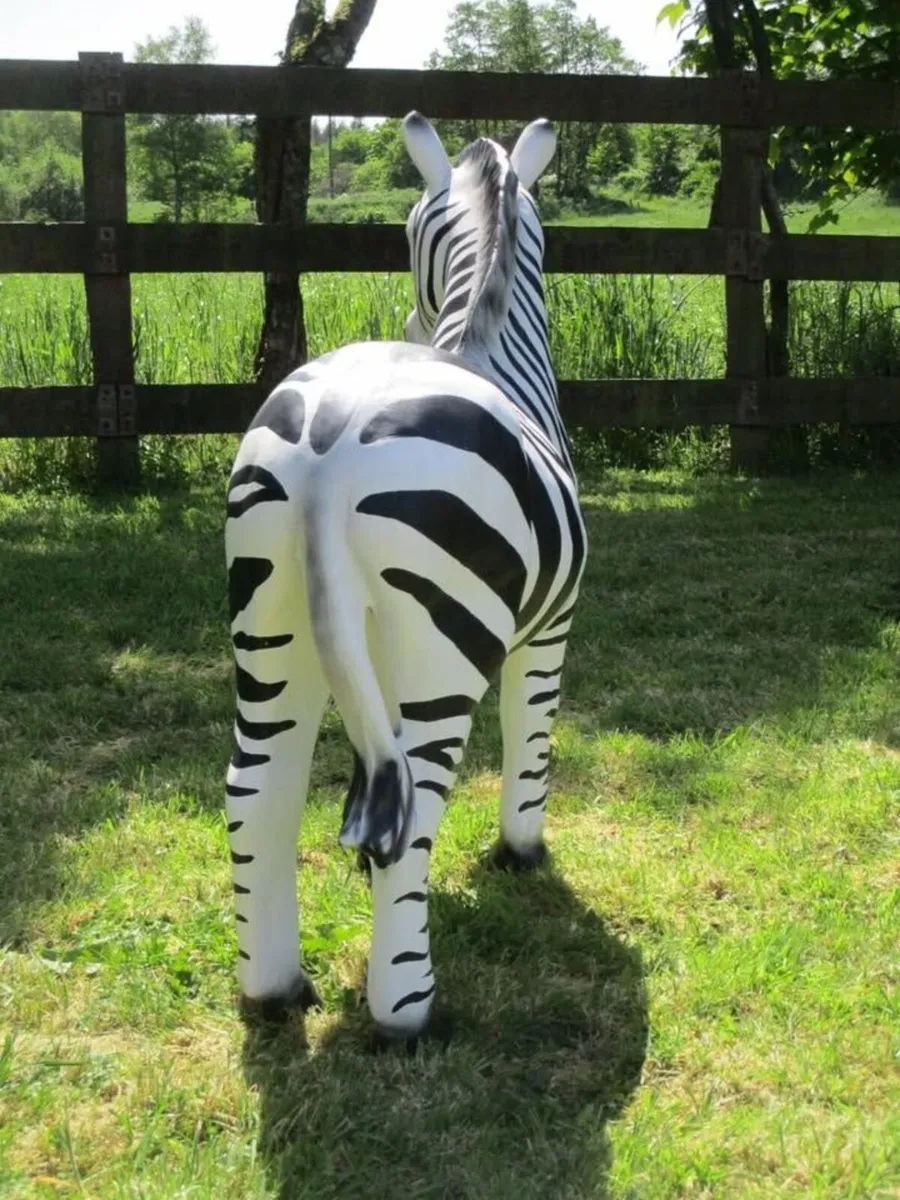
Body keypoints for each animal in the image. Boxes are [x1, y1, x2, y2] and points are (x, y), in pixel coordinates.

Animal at [224, 112, 587, 1040]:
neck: (490, 348)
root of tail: (331, 439)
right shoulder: (549, 627)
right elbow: (531, 734)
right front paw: (521, 850)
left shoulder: (373, 641)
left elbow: (370, 754)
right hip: (445, 643)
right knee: (417, 797)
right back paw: (406, 1010)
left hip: (273, 621)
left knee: (257, 793)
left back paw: (275, 987)